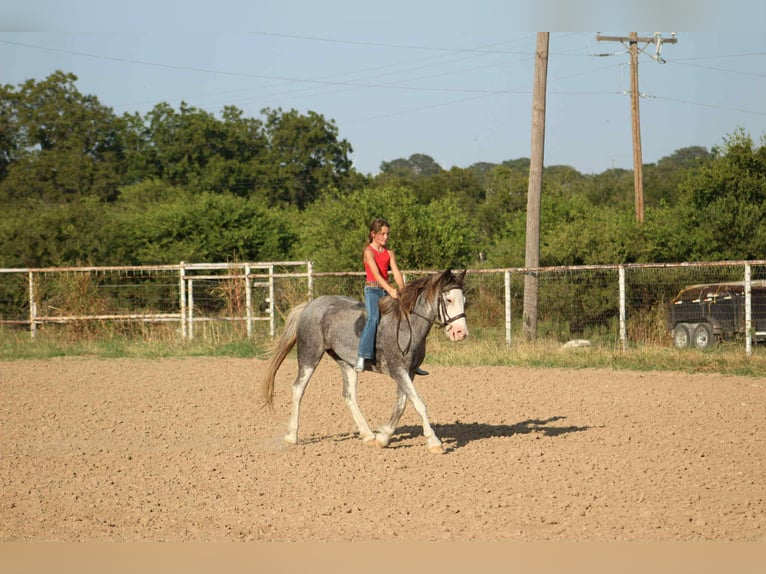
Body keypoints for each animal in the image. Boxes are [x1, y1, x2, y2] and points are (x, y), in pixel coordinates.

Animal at [261, 268, 468, 453]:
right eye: (448, 299)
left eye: (464, 300)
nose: (461, 333)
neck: (407, 326)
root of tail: (310, 305)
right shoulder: (398, 370)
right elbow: (418, 404)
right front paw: (434, 442)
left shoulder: (408, 372)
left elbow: (401, 404)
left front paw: (383, 437)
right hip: (309, 355)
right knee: (298, 389)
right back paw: (291, 436)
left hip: (346, 363)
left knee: (349, 395)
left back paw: (368, 435)